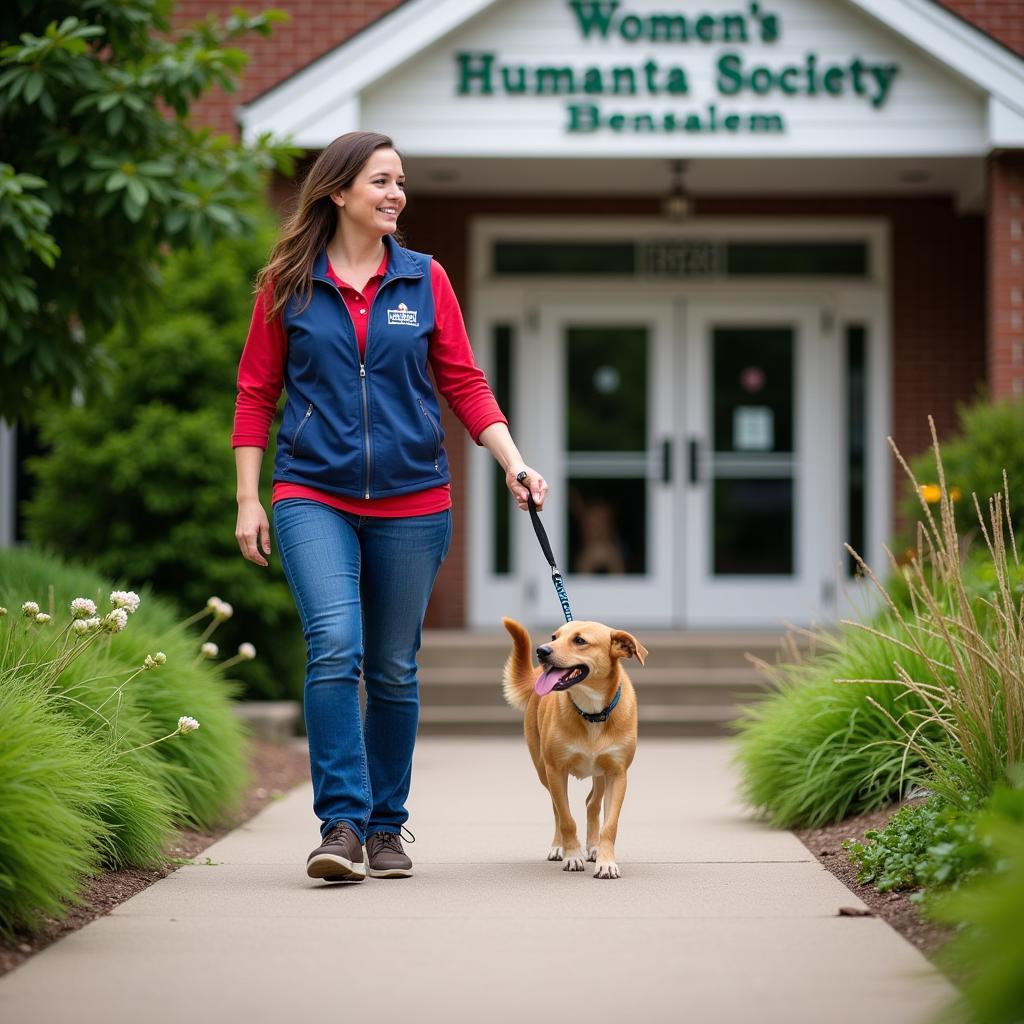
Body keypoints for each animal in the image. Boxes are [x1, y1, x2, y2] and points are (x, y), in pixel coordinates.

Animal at [501, 614, 647, 880]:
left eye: (580, 640)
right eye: (554, 636)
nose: (541, 650)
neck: (592, 712)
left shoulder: (618, 774)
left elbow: (610, 824)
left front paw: (606, 861)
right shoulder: (556, 771)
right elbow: (566, 818)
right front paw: (572, 855)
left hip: (600, 774)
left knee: (592, 803)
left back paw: (594, 846)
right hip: (543, 771)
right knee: (557, 809)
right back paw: (559, 846)